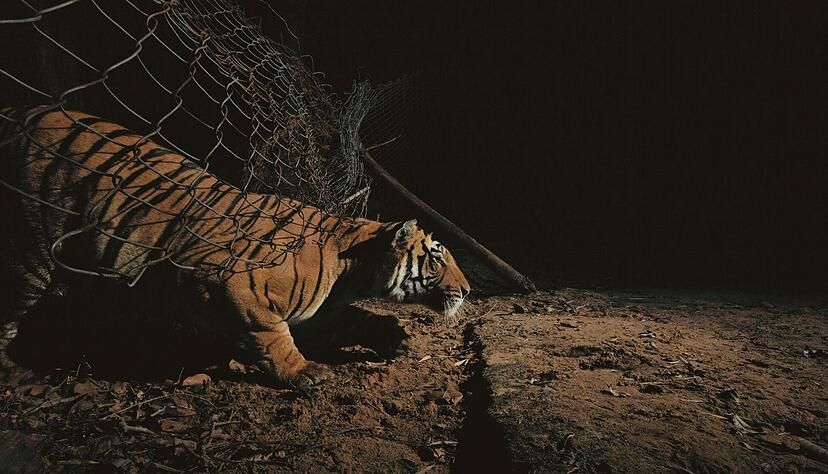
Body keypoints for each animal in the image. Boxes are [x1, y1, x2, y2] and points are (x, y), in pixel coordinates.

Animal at [0, 107, 470, 387]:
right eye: (436, 257)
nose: (467, 290)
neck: (350, 270)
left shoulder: (320, 312)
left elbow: (358, 319)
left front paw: (394, 336)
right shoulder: (235, 287)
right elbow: (273, 335)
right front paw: (303, 371)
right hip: (30, 251)